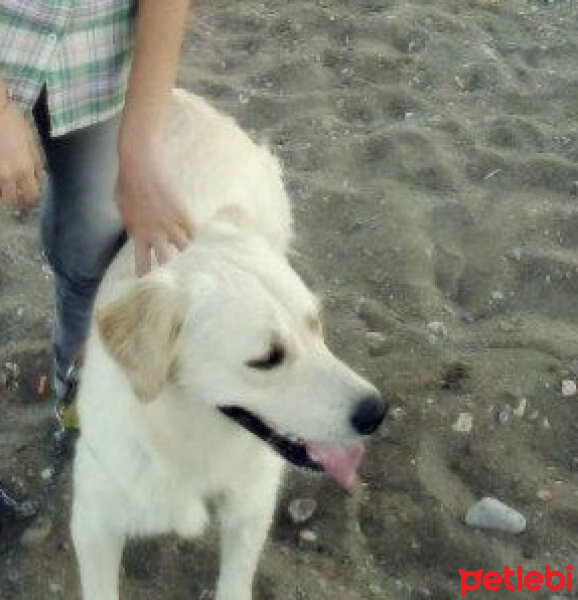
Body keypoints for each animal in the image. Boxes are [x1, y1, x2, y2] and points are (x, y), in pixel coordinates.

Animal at [72, 90, 388, 600]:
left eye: (315, 323)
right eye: (266, 359)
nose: (376, 412)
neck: (188, 445)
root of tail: (182, 98)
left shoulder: (252, 502)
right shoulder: (94, 520)